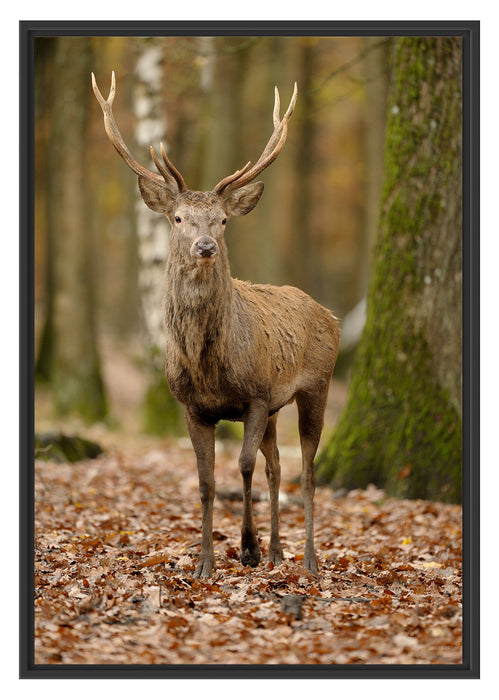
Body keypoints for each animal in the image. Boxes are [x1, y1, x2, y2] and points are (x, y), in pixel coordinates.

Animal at [92, 71, 340, 578]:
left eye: (223, 219)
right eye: (178, 218)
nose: (205, 246)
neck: (209, 366)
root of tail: (331, 315)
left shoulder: (257, 395)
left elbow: (242, 466)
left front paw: (246, 548)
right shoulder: (193, 406)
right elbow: (206, 482)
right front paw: (205, 562)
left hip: (316, 386)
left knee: (306, 472)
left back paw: (307, 559)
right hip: (280, 407)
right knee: (278, 466)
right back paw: (279, 551)